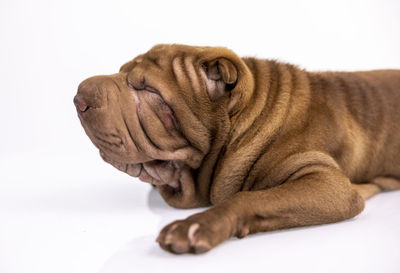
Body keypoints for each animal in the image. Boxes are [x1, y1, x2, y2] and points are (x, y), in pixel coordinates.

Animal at [73, 44, 400, 253]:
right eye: (121, 72)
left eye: (147, 89)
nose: (78, 96)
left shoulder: (329, 183)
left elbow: (248, 198)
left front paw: (196, 226)